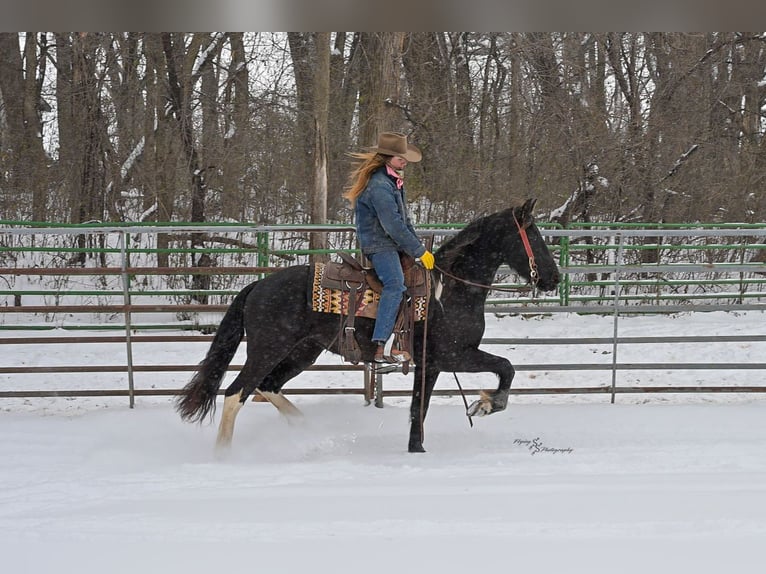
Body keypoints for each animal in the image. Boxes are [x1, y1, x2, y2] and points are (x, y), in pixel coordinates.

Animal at [175, 198, 560, 453]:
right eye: (534, 237)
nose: (554, 278)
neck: (450, 290)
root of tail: (258, 285)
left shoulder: (431, 364)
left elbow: (418, 409)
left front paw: (417, 450)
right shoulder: (455, 355)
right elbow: (506, 367)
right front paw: (486, 405)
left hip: (303, 351)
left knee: (268, 386)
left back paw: (305, 429)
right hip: (267, 348)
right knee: (236, 392)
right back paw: (224, 454)